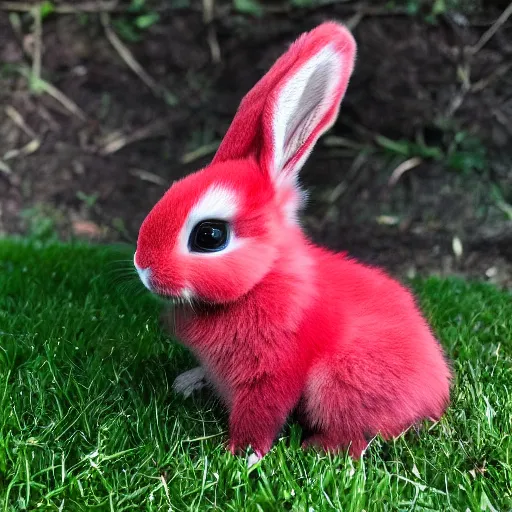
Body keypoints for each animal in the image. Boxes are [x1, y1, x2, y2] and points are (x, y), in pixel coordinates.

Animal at [135, 21, 452, 464]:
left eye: (209, 236)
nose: (143, 268)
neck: (264, 279)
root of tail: (437, 392)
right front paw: (190, 382)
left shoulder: (275, 370)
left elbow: (261, 415)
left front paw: (239, 457)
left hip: (339, 381)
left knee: (356, 438)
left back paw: (317, 448)